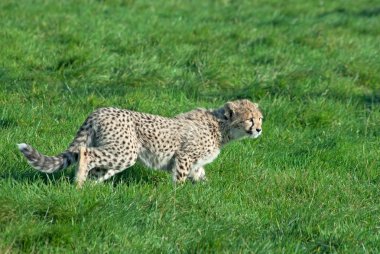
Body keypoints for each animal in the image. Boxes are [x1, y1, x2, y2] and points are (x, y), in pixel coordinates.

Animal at [16, 99, 262, 187]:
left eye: (260, 118)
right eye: (250, 119)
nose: (259, 129)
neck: (221, 127)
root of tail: (99, 110)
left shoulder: (196, 163)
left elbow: (201, 176)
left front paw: (207, 191)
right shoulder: (184, 156)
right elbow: (180, 178)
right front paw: (178, 195)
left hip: (118, 155)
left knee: (97, 171)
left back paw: (89, 189)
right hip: (126, 151)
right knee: (86, 153)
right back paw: (78, 183)